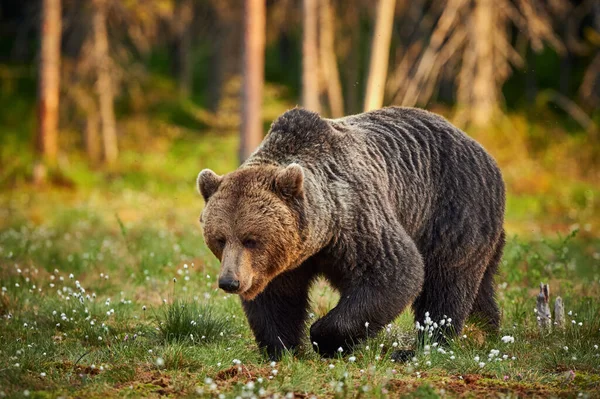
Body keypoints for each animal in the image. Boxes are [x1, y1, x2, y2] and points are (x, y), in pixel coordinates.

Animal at [198, 106, 506, 360]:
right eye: (220, 239)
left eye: (251, 239)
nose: (229, 281)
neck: (321, 235)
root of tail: (485, 153)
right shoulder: (284, 260)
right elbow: (277, 299)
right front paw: (282, 348)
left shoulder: (355, 220)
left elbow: (393, 272)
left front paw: (323, 338)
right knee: (479, 286)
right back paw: (484, 331)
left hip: (453, 209)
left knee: (446, 283)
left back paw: (423, 347)